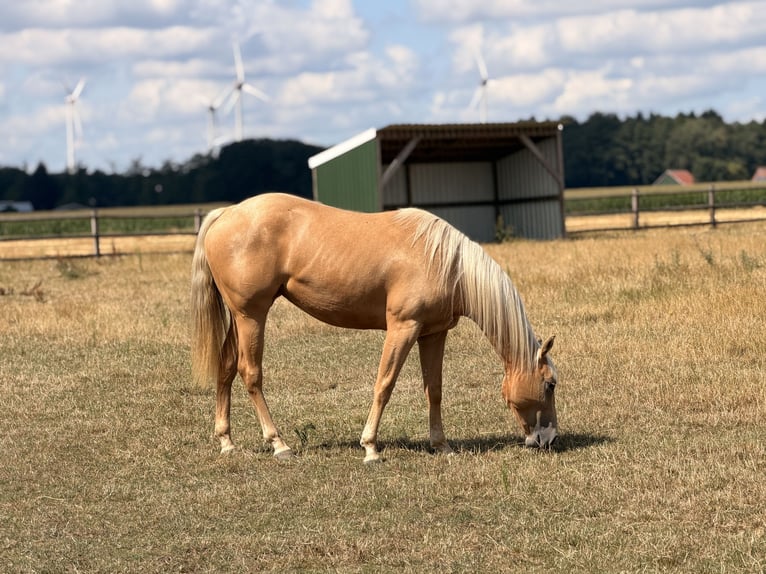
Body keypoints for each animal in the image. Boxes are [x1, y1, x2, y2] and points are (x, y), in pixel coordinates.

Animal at [190, 193, 559, 463]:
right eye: (550, 384)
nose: (549, 439)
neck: (445, 262)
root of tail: (225, 213)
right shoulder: (403, 328)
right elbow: (385, 384)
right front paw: (370, 447)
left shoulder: (433, 333)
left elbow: (434, 390)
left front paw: (441, 445)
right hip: (251, 316)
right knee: (250, 374)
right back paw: (279, 444)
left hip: (238, 318)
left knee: (226, 368)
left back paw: (226, 441)